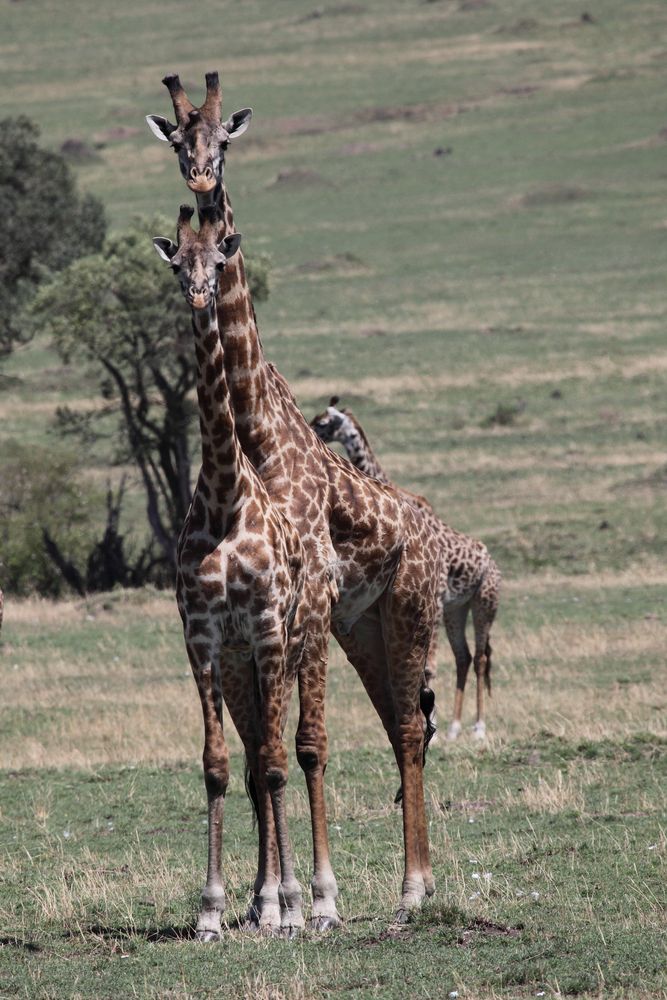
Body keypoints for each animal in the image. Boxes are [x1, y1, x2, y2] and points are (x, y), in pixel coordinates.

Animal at [149, 74, 446, 924]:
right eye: (178, 140)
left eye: (223, 140)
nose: (202, 187)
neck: (255, 435)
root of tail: (431, 525)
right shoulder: (254, 625)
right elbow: (257, 756)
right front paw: (256, 902)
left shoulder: (298, 604)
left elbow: (303, 747)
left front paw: (313, 899)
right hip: (359, 628)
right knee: (394, 724)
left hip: (404, 611)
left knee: (405, 731)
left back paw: (413, 889)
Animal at [310, 398, 500, 744]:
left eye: (324, 422)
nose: (309, 427)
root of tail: (492, 564)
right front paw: (433, 723)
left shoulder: (432, 601)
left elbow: (428, 666)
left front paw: (431, 725)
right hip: (457, 609)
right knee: (464, 657)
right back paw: (455, 727)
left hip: (484, 602)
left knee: (480, 658)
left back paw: (478, 728)